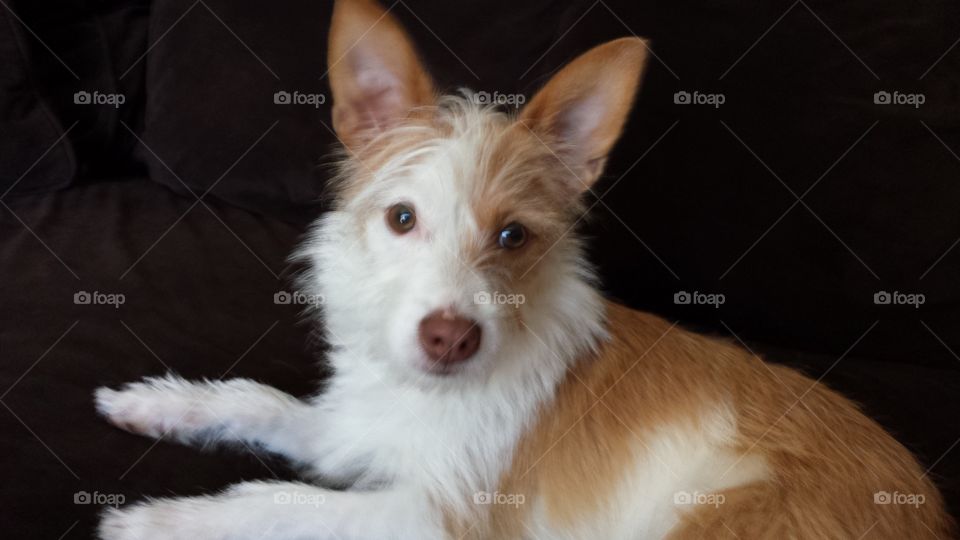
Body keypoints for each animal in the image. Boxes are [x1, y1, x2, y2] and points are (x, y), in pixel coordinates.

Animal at [92, 1, 952, 536]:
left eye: (513, 236)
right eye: (401, 219)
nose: (449, 340)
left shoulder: (440, 518)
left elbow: (279, 498)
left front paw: (162, 520)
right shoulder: (356, 429)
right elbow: (261, 401)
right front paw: (159, 403)